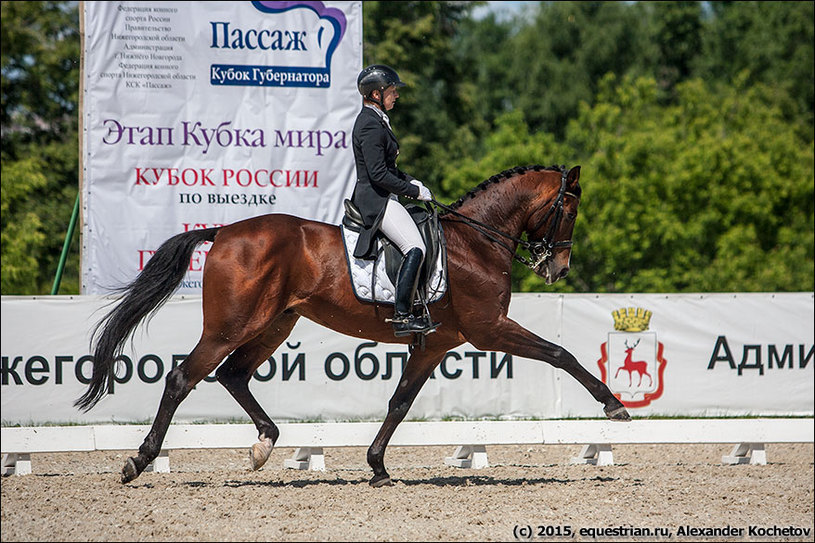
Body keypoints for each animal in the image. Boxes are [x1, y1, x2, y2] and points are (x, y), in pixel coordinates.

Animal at [75, 165, 632, 488]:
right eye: (570, 210)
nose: (558, 270)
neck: (476, 242)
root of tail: (226, 231)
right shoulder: (489, 328)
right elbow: (560, 353)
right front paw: (614, 405)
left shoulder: (436, 343)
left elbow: (400, 402)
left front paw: (378, 466)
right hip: (231, 326)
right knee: (183, 377)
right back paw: (138, 462)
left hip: (274, 324)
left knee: (233, 374)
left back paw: (263, 445)